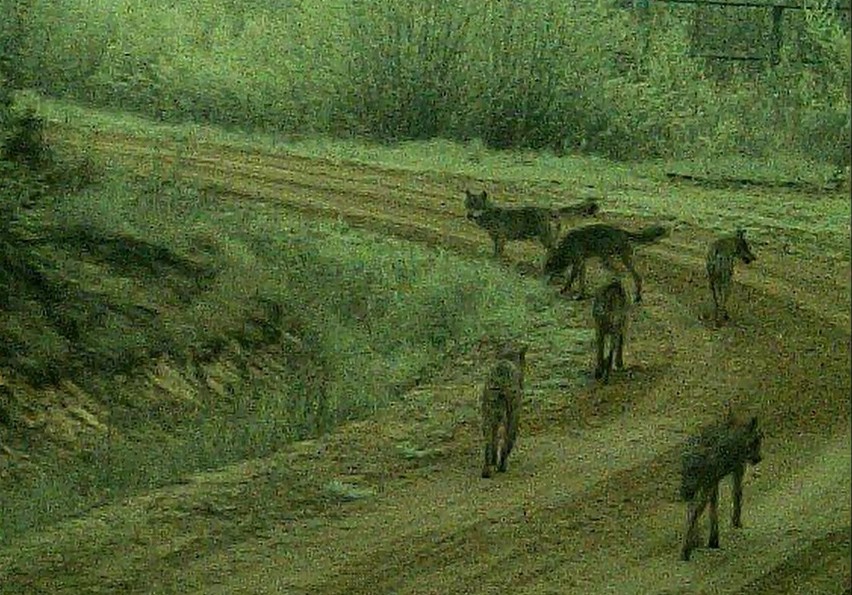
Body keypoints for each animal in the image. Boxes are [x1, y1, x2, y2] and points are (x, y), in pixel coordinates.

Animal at [466, 190, 600, 258]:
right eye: (468, 204)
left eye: (477, 205)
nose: (469, 216)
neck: (487, 214)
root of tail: (549, 209)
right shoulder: (496, 238)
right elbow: (496, 250)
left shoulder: (501, 238)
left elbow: (499, 252)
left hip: (545, 239)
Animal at [480, 342, 524, 478]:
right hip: (510, 414)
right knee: (508, 439)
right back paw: (502, 466)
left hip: (488, 413)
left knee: (489, 440)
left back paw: (487, 468)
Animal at [680, 410, 764, 564]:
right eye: (756, 440)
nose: (758, 459)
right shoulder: (738, 468)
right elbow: (737, 494)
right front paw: (736, 522)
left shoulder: (714, 481)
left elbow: (713, 507)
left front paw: (712, 540)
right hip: (702, 484)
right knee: (694, 511)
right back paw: (685, 552)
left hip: (693, 486)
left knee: (690, 509)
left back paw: (694, 543)